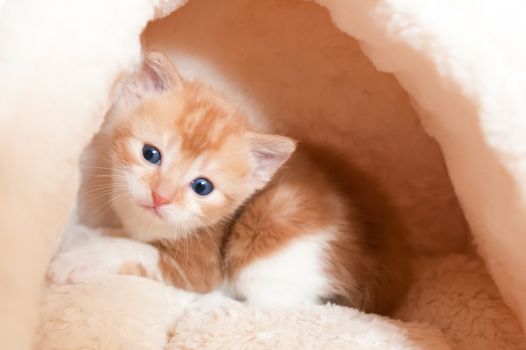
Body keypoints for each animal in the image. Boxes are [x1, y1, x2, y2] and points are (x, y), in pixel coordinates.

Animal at [48, 52, 412, 314]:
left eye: (202, 187)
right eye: (150, 154)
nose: (160, 196)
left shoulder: (197, 267)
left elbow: (132, 249)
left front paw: (78, 259)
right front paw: (94, 234)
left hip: (274, 236)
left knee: (283, 306)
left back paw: (213, 304)